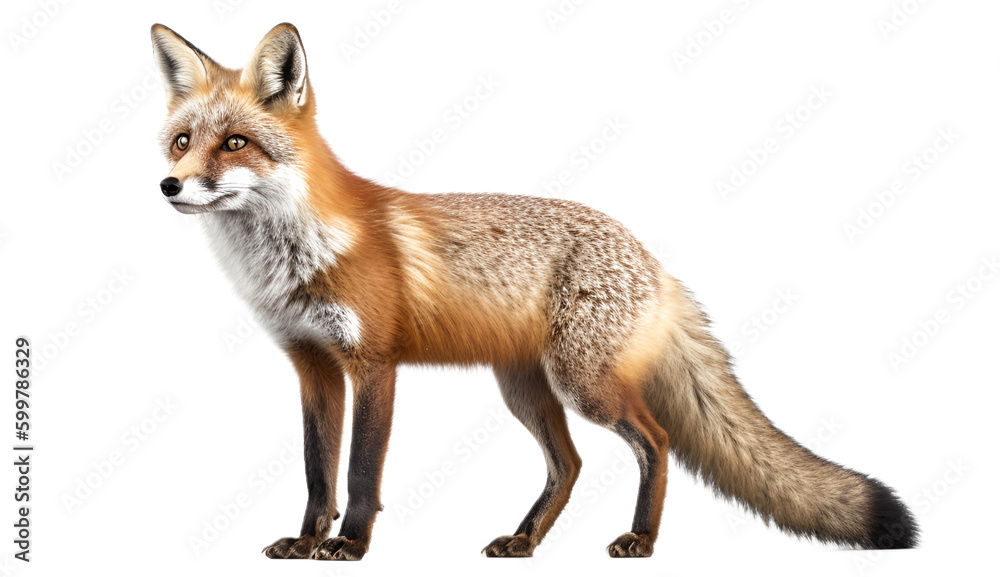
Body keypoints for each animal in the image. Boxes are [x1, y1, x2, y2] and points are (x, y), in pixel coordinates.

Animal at [151, 22, 918, 560]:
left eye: (236, 143)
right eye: (183, 141)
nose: (169, 185)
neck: (294, 257)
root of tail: (651, 258)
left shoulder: (374, 365)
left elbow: (361, 474)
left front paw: (350, 545)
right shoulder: (312, 367)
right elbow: (318, 472)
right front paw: (307, 539)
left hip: (584, 385)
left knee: (657, 440)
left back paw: (641, 541)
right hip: (525, 389)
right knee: (570, 464)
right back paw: (525, 541)